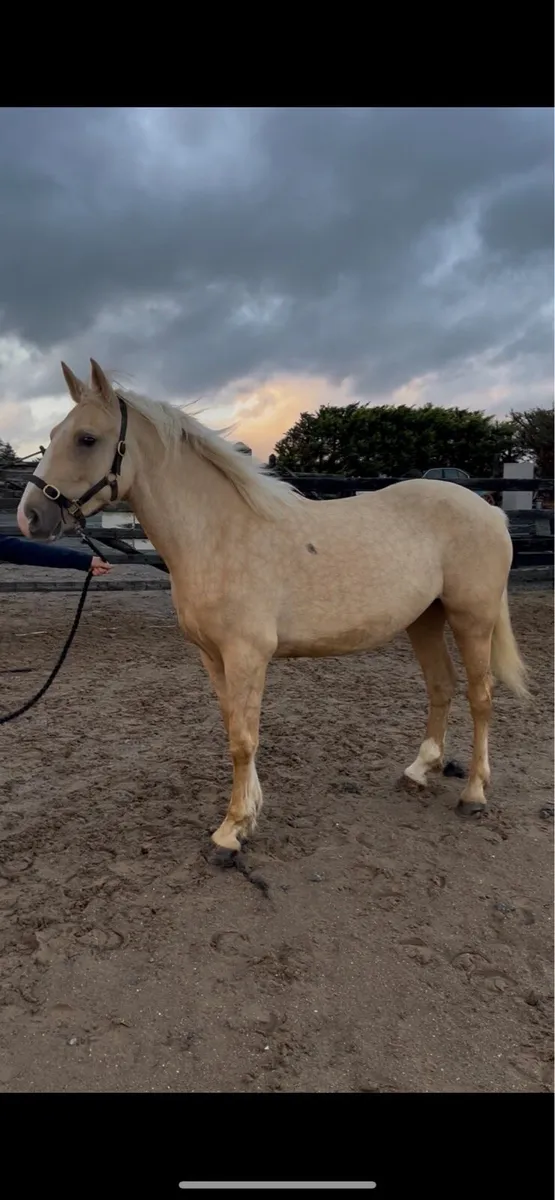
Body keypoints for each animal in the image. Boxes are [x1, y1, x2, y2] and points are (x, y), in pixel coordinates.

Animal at [17, 359, 529, 857]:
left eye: (86, 438)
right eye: (54, 434)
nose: (30, 518)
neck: (218, 534)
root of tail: (489, 510)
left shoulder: (247, 655)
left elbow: (244, 740)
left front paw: (230, 833)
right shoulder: (213, 656)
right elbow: (234, 728)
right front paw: (249, 814)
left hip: (472, 619)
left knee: (481, 698)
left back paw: (474, 795)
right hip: (424, 619)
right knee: (441, 686)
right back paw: (420, 770)